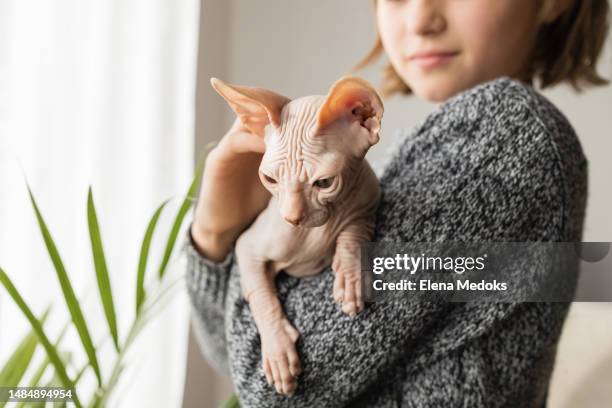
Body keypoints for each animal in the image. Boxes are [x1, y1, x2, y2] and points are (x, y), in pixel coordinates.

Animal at [210, 75, 382, 394]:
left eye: (324, 182)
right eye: (269, 179)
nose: (291, 218)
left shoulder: (368, 201)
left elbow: (353, 232)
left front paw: (350, 278)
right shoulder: (247, 246)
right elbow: (261, 296)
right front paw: (278, 352)